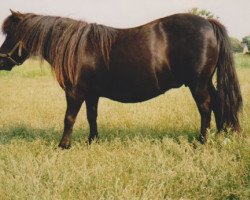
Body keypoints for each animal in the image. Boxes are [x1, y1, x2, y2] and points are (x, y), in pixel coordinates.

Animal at [0, 10, 242, 148]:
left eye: (11, 33)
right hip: (205, 82)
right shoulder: (91, 94)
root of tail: (208, 23)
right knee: (219, 103)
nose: (1, 61)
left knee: (206, 108)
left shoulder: (75, 92)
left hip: (197, 84)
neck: (75, 47)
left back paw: (202, 141)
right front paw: (92, 141)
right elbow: (91, 117)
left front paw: (63, 145)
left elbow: (69, 118)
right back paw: (221, 135)